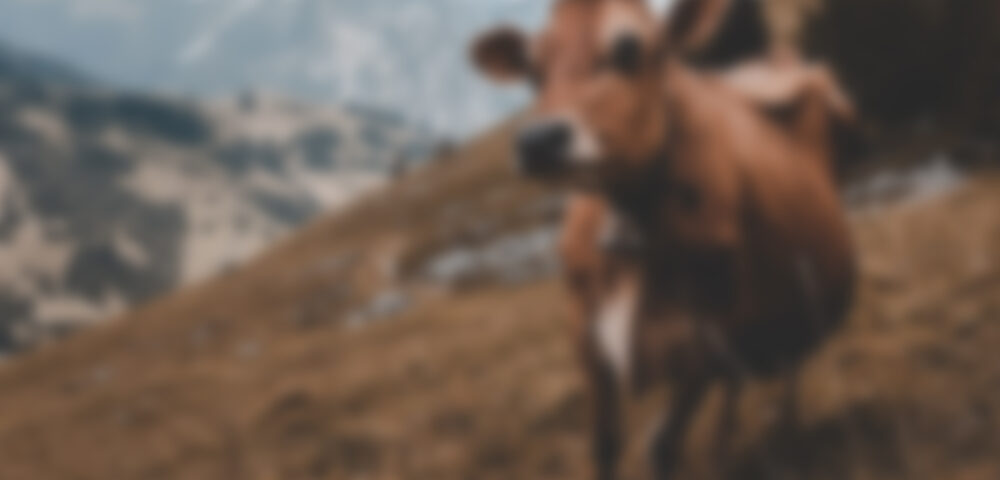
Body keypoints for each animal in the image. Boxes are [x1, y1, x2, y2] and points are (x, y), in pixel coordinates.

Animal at [470, 0, 858, 479]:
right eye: (531, 70)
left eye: (630, 47)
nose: (538, 141)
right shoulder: (584, 331)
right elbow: (605, 443)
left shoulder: (708, 343)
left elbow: (661, 443)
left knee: (789, 370)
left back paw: (786, 436)